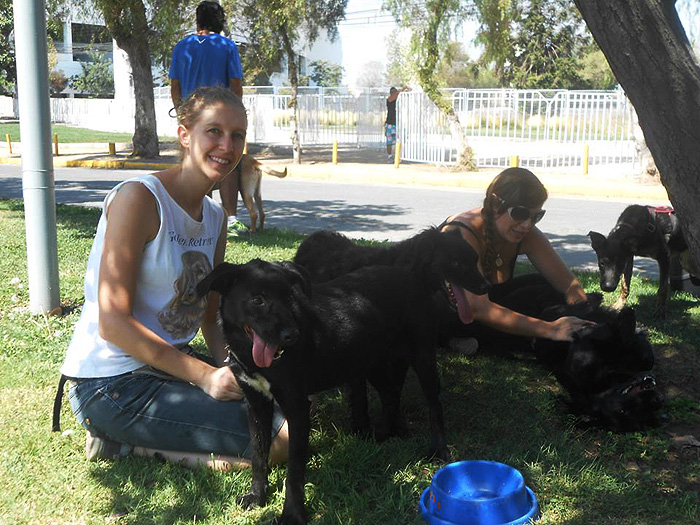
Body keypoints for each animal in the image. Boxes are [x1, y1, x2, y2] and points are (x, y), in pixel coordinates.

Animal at [197, 252, 490, 520]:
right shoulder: (256, 404)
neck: (253, 355)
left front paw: (292, 514)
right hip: (372, 363)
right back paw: (384, 433)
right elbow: (259, 456)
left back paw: (437, 449)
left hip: (422, 356)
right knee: (391, 394)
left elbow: (294, 472)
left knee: (433, 403)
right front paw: (257, 496)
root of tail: (412, 276)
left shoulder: (298, 408)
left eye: (290, 298)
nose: (292, 336)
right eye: (258, 300)